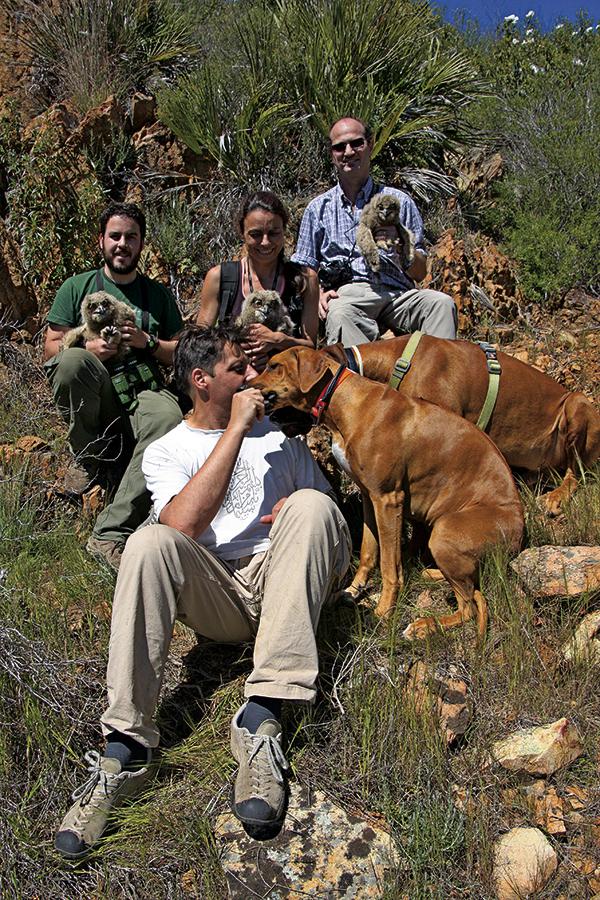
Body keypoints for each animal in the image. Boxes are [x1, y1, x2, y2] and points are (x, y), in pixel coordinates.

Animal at [251, 346, 524, 640]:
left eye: (274, 365)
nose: (244, 387)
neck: (347, 401)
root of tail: (518, 540)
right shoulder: (370, 498)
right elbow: (368, 552)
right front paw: (355, 590)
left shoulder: (388, 499)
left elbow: (389, 566)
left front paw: (384, 610)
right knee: (472, 581)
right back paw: (430, 574)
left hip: (444, 532)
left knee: (469, 607)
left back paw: (423, 626)